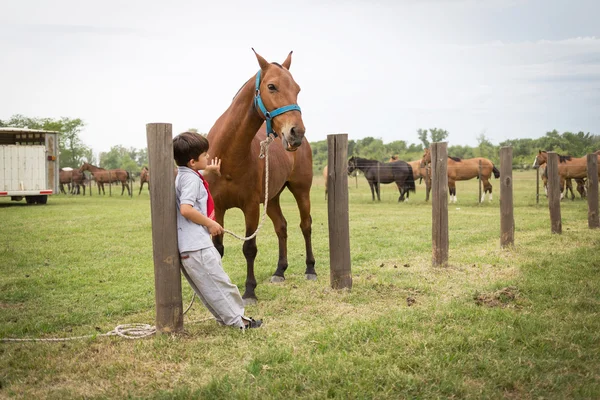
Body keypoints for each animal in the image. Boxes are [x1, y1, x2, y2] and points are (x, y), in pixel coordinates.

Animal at [206, 49, 316, 304]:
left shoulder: (250, 208)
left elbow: (249, 249)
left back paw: (310, 269)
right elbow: (218, 248)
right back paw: (279, 271)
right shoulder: (218, 207)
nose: (296, 133)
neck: (228, 157)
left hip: (301, 190)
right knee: (281, 227)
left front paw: (249, 292)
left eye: (297, 89)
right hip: (272, 197)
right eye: (272, 86)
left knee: (305, 225)